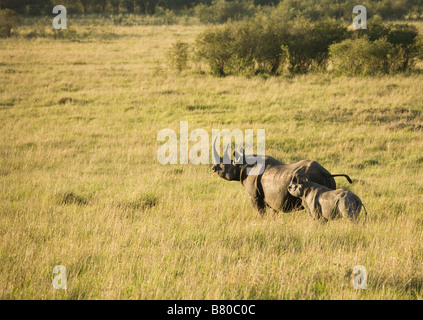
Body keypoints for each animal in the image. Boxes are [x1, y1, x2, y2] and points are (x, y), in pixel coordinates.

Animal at [212, 138, 354, 215]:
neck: (242, 165)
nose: (213, 168)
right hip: (330, 181)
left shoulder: (255, 196)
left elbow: (261, 213)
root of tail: (326, 172)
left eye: (224, 166)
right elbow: (273, 212)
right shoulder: (272, 197)